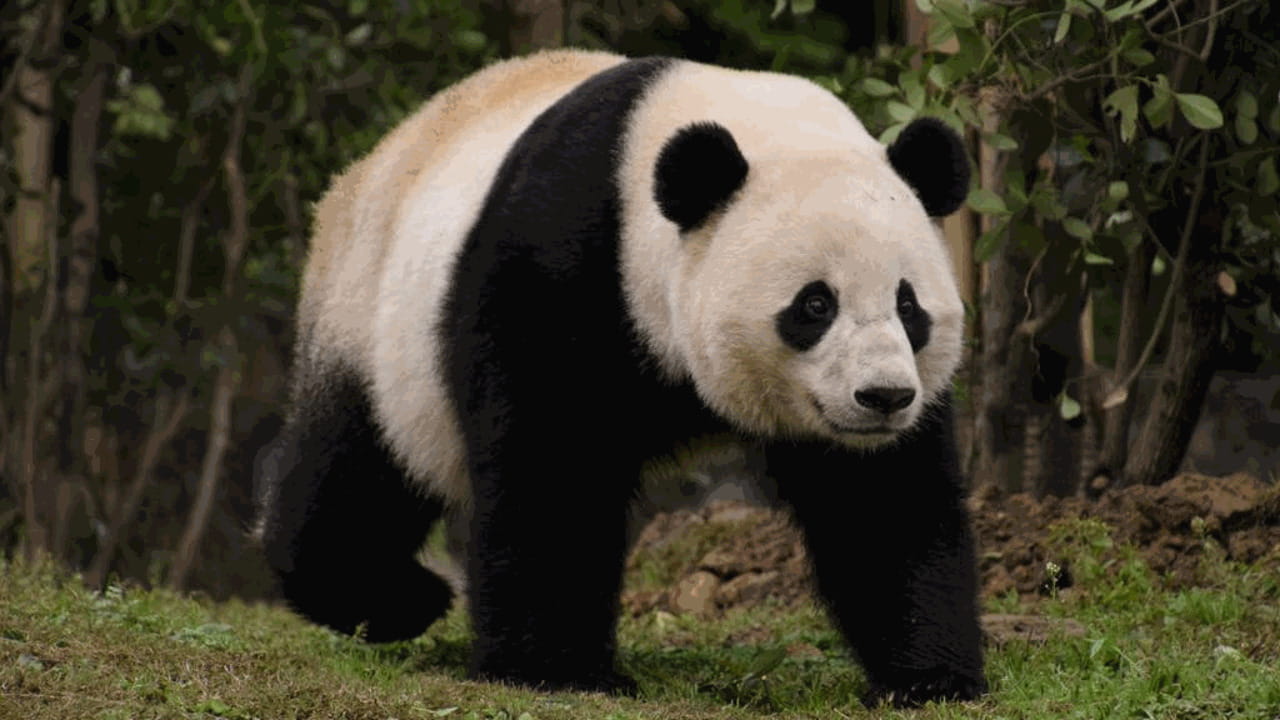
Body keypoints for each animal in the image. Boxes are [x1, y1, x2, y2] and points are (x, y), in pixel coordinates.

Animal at [254, 49, 985, 706]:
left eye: (909, 306)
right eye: (814, 305)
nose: (883, 398)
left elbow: (883, 503)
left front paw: (928, 678)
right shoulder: (561, 262)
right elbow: (552, 467)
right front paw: (557, 671)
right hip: (376, 320)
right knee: (358, 468)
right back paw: (393, 599)